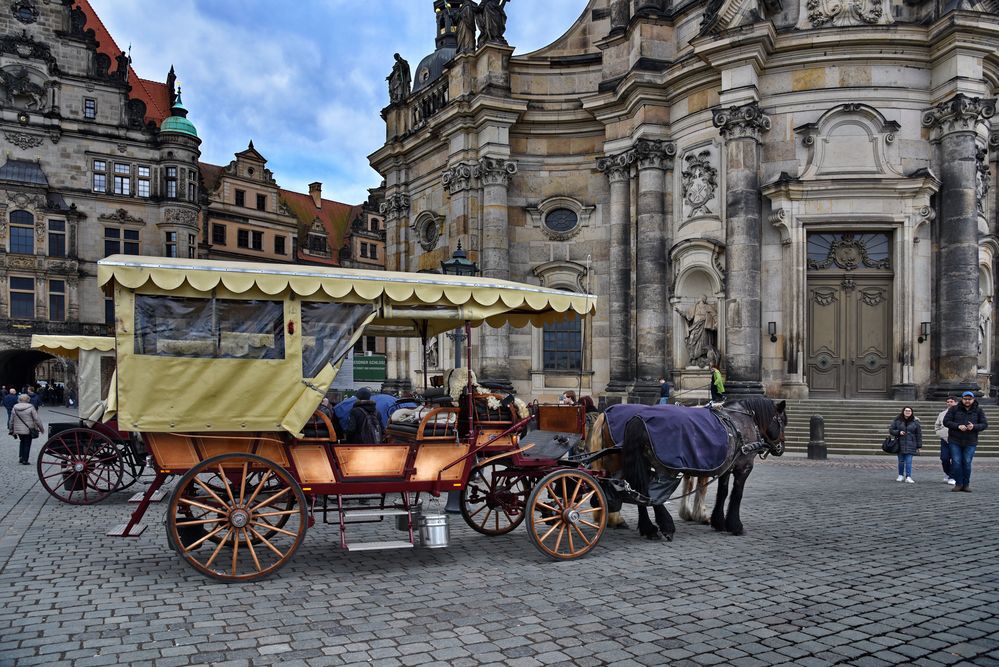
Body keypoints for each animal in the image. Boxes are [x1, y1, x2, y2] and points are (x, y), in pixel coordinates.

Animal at [584, 400, 788, 540]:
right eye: (782, 421)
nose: (781, 449)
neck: (740, 421)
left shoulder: (723, 466)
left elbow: (721, 492)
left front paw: (717, 520)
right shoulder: (742, 467)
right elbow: (735, 494)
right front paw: (733, 525)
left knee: (636, 491)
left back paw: (644, 527)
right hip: (657, 466)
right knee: (650, 494)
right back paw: (664, 525)